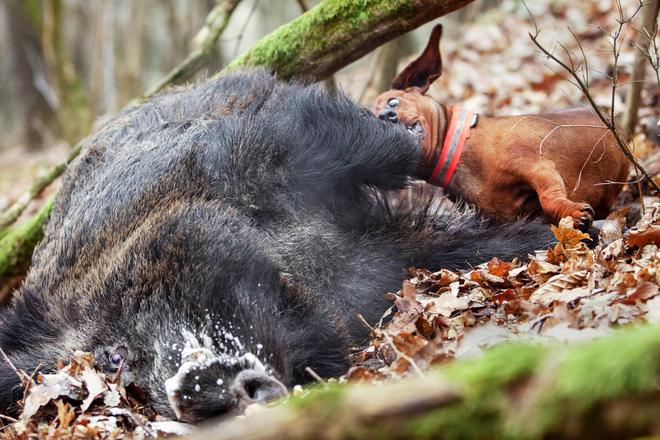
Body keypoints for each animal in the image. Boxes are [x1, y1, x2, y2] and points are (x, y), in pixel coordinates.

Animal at [374, 24, 632, 230]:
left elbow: (549, 198)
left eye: (393, 102)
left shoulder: (538, 168)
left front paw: (572, 212)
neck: (461, 150)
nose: (387, 115)